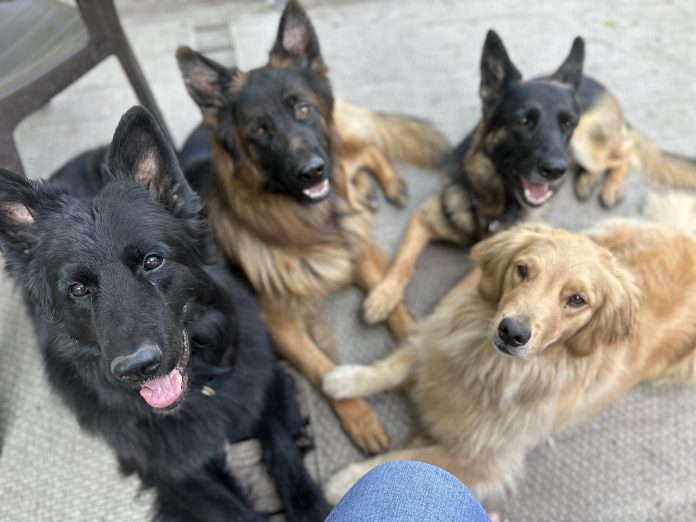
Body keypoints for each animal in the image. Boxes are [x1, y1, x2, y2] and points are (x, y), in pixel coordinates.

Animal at [0, 106, 328, 521]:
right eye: (78, 289)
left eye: (152, 261)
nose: (138, 367)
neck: (198, 390)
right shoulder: (175, 477)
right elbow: (235, 511)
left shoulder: (261, 387)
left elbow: (283, 448)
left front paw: (311, 504)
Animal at [175, 0, 448, 453]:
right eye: (260, 130)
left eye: (302, 108)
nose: (312, 172)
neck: (311, 225)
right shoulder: (277, 324)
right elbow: (320, 367)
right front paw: (360, 416)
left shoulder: (356, 253)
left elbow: (398, 312)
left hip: (342, 147)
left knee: (366, 148)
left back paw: (384, 187)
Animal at [321, 203, 696, 505]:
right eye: (523, 269)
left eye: (577, 299)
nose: (512, 332)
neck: (490, 367)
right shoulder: (437, 338)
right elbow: (394, 366)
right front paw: (346, 380)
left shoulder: (487, 462)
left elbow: (408, 458)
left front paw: (345, 481)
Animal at [363, 29, 696, 326]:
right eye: (524, 120)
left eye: (567, 123)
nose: (556, 170)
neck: (493, 203)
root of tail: (594, 82)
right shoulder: (424, 217)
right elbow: (403, 260)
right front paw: (383, 296)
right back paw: (586, 182)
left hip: (585, 144)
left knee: (625, 151)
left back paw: (609, 186)